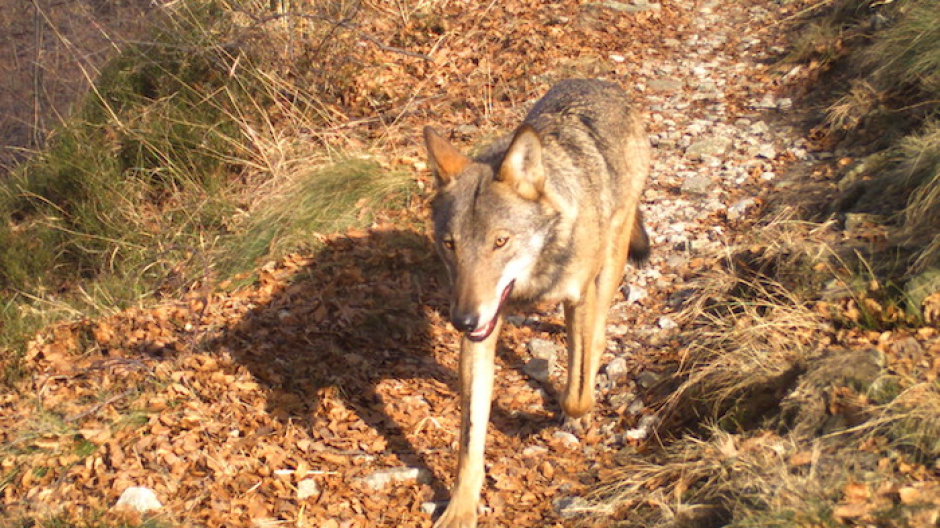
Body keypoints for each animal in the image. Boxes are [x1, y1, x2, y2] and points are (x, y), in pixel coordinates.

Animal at [423, 78, 650, 528]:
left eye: (500, 241)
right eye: (450, 245)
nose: (463, 321)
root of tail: (600, 82)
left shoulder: (578, 299)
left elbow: (576, 390)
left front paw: (574, 412)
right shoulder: (484, 329)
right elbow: (470, 436)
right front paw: (460, 509)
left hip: (610, 261)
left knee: (597, 334)